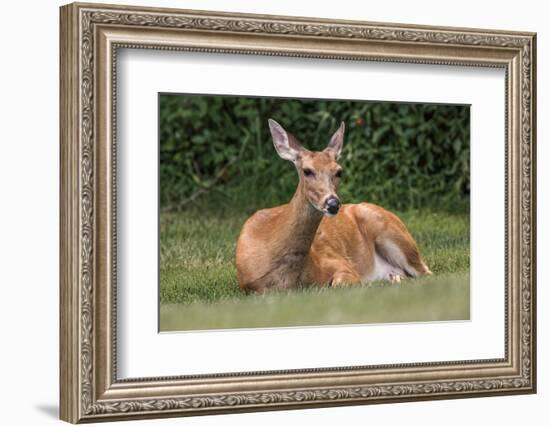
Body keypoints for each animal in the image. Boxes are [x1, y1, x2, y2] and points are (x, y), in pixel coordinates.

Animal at [235, 120, 434, 294]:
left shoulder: (340, 263)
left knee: (426, 273)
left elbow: (338, 284)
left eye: (339, 171)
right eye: (307, 171)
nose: (332, 203)